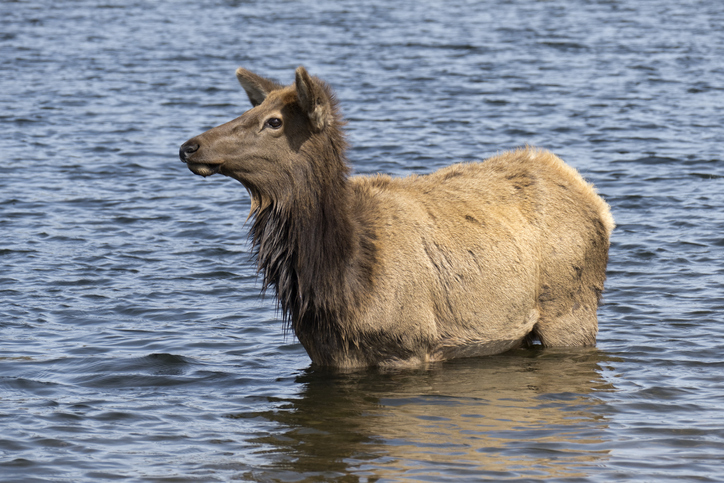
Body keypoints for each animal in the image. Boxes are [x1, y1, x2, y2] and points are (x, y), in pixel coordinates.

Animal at [178, 67, 612, 370]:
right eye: (252, 108)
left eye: (274, 122)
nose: (190, 146)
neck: (339, 280)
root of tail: (594, 198)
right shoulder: (329, 355)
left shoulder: (408, 345)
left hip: (571, 309)